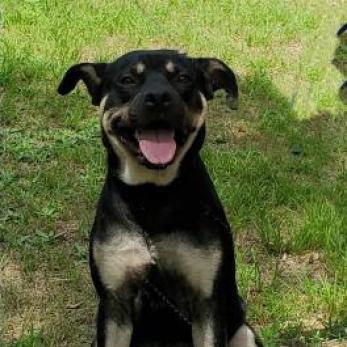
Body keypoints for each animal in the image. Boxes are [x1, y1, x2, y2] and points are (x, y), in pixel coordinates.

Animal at [57, 49, 264, 347]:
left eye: (183, 77)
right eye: (128, 79)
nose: (157, 97)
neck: (151, 196)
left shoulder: (207, 303)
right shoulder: (115, 302)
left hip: (244, 332)